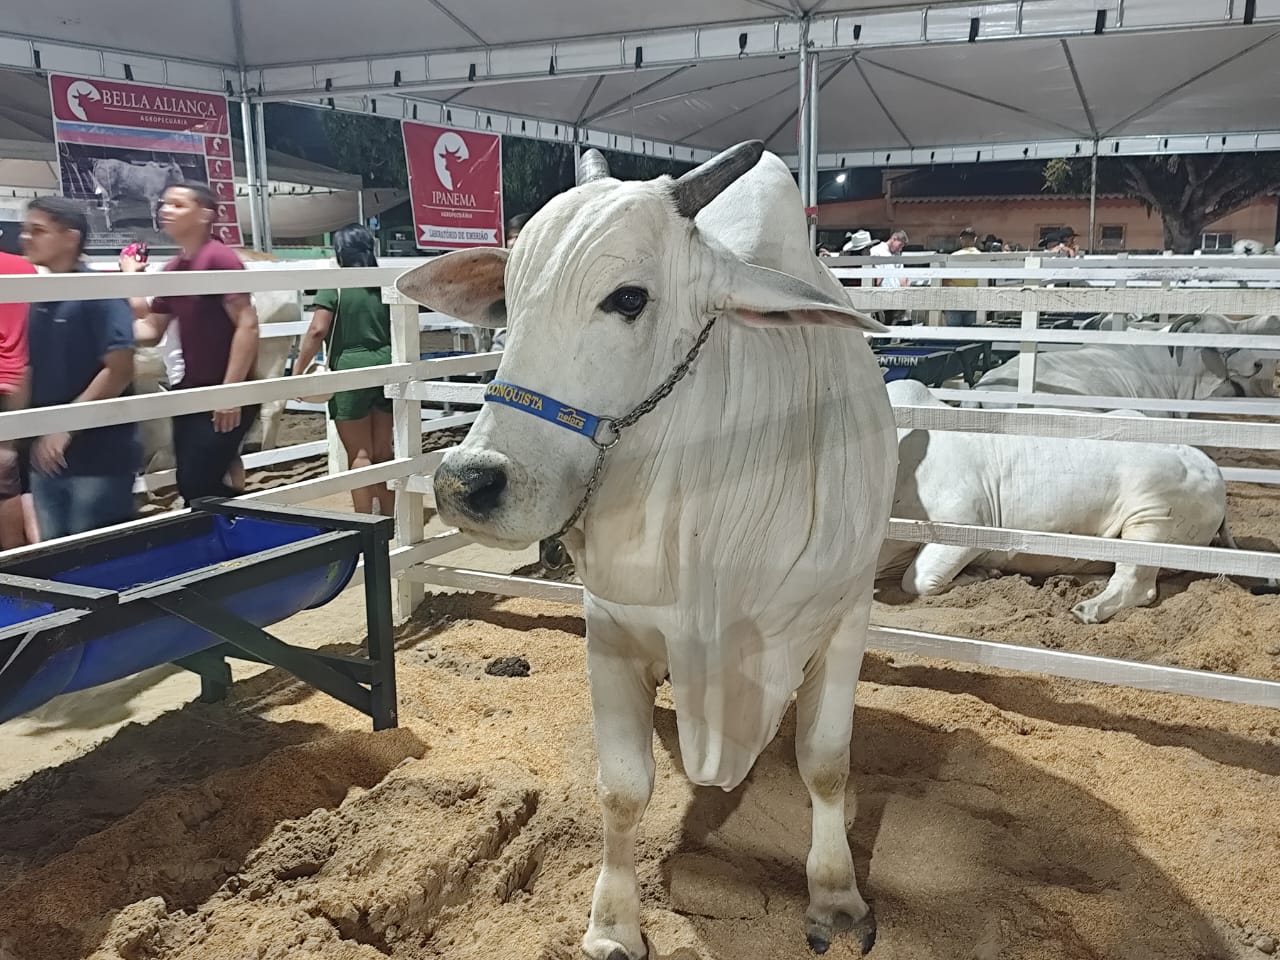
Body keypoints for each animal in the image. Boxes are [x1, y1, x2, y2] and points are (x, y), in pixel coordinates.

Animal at [394, 144, 896, 960]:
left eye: (628, 298)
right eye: (508, 301)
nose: (467, 482)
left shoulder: (847, 614)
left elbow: (825, 765)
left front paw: (836, 896)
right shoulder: (612, 628)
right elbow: (623, 787)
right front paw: (612, 924)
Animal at [880, 378, 1228, 627]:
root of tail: (1212, 470)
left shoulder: (968, 524)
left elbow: (919, 581)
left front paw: (980, 574)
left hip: (1152, 520)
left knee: (1137, 584)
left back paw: (1086, 609)